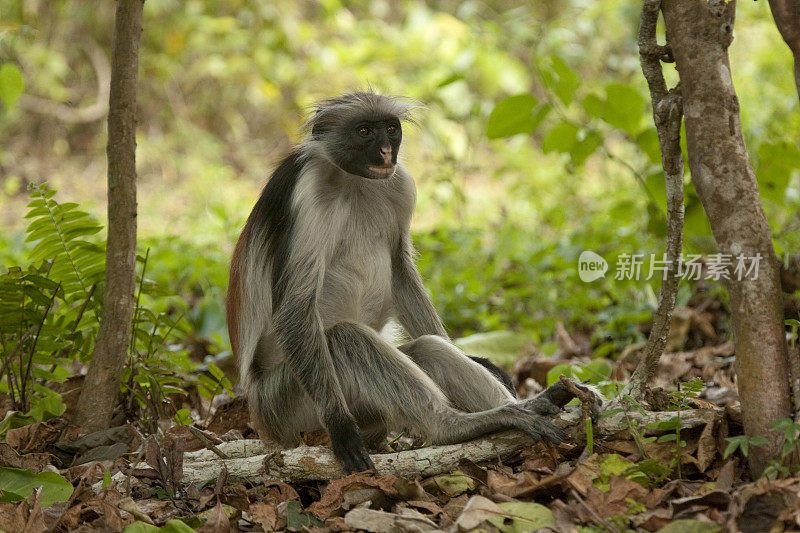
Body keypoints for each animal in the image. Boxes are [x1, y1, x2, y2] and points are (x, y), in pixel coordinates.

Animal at [225, 92, 588, 474]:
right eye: (364, 131)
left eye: (391, 130)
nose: (386, 152)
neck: (353, 180)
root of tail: (261, 420)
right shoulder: (306, 190)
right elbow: (295, 307)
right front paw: (341, 428)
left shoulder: (398, 183)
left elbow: (399, 271)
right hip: (288, 404)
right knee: (345, 337)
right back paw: (453, 426)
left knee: (427, 348)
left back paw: (532, 403)